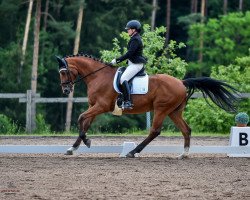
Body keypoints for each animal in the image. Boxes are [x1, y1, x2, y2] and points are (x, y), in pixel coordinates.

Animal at [55, 54, 239, 159]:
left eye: (64, 72)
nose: (65, 90)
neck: (97, 76)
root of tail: (181, 82)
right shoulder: (94, 106)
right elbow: (85, 123)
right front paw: (72, 148)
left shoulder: (101, 106)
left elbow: (80, 118)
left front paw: (86, 142)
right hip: (174, 112)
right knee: (186, 130)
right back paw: (183, 154)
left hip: (161, 109)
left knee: (155, 131)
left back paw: (132, 152)